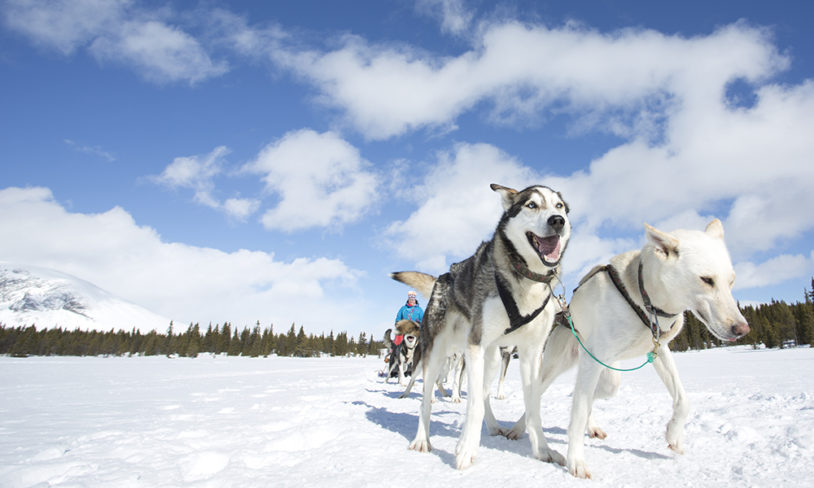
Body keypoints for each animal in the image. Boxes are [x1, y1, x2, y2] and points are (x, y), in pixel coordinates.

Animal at [392, 183, 572, 468]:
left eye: (559, 206)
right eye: (531, 205)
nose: (558, 221)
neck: (526, 278)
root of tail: (442, 278)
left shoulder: (532, 354)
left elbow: (532, 406)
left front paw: (543, 450)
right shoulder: (474, 346)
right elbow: (473, 403)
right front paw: (466, 449)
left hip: (493, 358)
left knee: (485, 392)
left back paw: (492, 425)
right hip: (437, 354)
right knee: (427, 398)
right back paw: (422, 439)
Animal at [504, 220, 752, 476]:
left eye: (731, 281)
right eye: (706, 279)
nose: (742, 329)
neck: (645, 300)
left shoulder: (659, 351)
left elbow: (683, 400)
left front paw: (674, 435)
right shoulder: (594, 360)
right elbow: (578, 412)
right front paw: (576, 461)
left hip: (609, 375)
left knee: (589, 394)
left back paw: (592, 426)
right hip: (557, 366)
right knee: (538, 398)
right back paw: (518, 429)